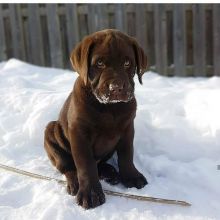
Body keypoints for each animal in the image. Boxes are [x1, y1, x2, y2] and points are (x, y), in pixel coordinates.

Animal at [44, 28, 148, 208]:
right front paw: (91, 193)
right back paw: (76, 184)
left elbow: (127, 154)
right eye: (99, 63)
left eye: (127, 63)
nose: (116, 87)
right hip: (51, 131)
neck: (110, 107)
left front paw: (131, 176)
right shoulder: (80, 133)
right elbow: (86, 164)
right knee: (68, 167)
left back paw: (110, 173)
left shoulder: (128, 128)